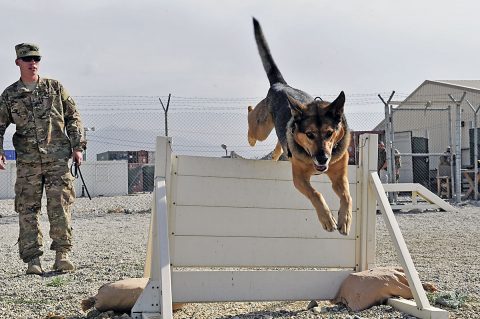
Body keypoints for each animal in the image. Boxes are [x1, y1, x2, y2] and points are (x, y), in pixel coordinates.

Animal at [251, 18, 352, 236]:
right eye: (310, 134)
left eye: (329, 133)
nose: (322, 158)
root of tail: (281, 84)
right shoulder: (299, 178)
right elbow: (316, 194)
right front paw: (327, 220)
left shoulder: (339, 176)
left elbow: (347, 196)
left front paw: (345, 220)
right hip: (262, 127)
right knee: (254, 125)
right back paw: (251, 136)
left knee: (280, 142)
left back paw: (274, 156)